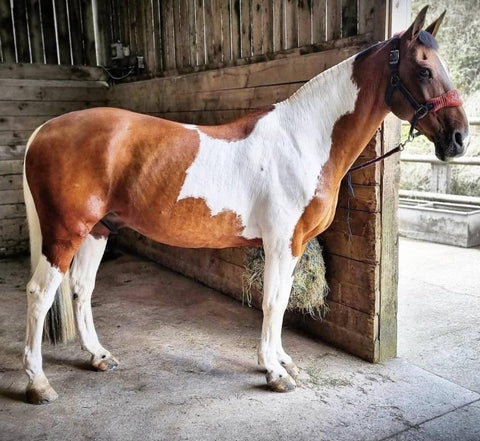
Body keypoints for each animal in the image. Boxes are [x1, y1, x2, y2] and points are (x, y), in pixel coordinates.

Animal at [22, 6, 468, 404]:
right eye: (424, 70)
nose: (460, 139)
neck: (302, 141)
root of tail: (45, 129)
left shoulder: (294, 246)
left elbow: (283, 301)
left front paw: (284, 360)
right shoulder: (280, 243)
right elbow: (272, 302)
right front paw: (273, 371)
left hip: (97, 229)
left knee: (81, 288)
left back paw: (98, 356)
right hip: (65, 233)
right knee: (39, 295)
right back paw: (38, 384)